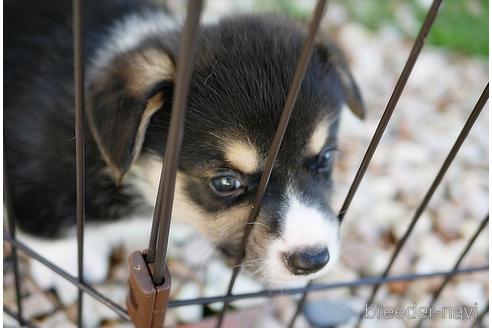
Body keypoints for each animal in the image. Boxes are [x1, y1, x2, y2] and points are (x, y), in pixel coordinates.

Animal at [3, 0, 366, 304]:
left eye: (325, 158)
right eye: (225, 183)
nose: (313, 260)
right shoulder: (30, 162)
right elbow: (40, 215)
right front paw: (66, 264)